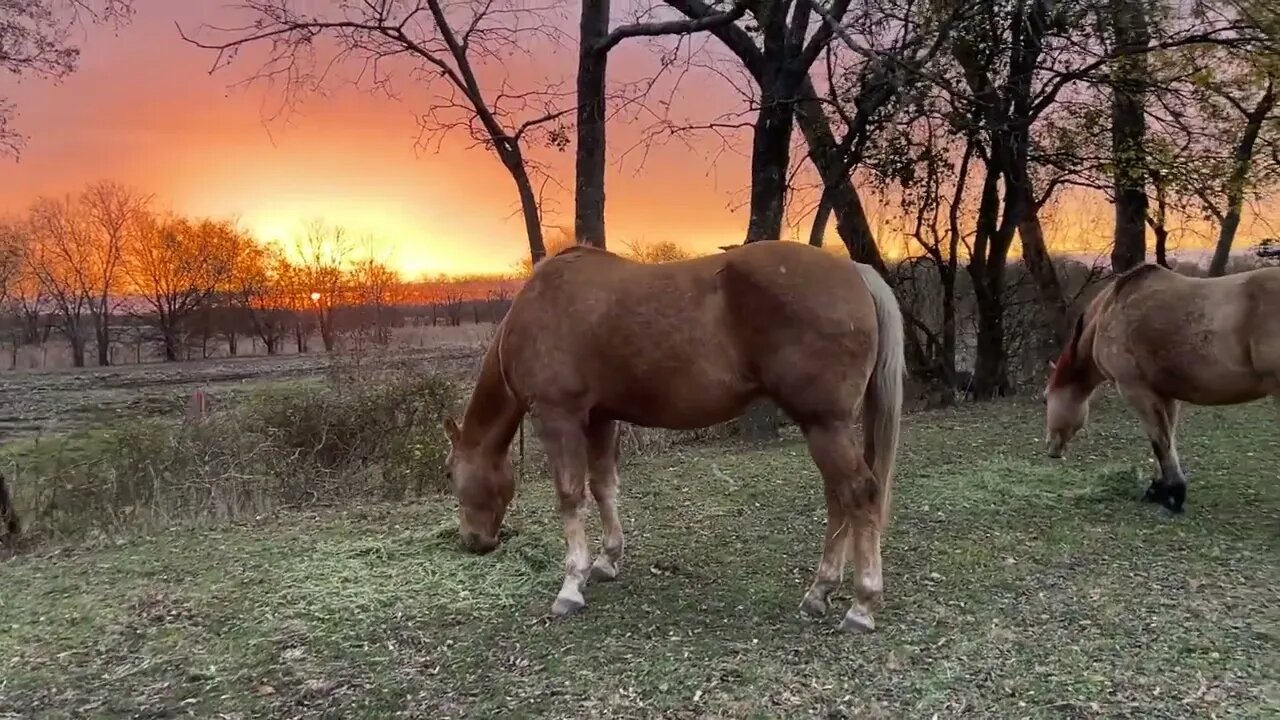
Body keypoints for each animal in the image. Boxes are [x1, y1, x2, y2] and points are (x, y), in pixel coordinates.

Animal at [445, 239, 906, 627]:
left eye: (450, 473)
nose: (473, 541)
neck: (537, 309)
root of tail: (853, 270)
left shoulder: (559, 418)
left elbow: (571, 497)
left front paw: (572, 586)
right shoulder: (600, 419)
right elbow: (603, 487)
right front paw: (608, 560)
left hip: (825, 425)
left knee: (859, 495)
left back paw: (862, 605)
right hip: (826, 428)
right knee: (839, 499)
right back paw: (820, 591)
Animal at [1039, 262, 1280, 509]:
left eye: (1046, 399)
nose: (1051, 448)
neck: (1108, 314)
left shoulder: (1137, 391)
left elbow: (1159, 441)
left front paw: (1171, 495)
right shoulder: (1165, 394)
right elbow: (1166, 439)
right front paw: (1161, 488)